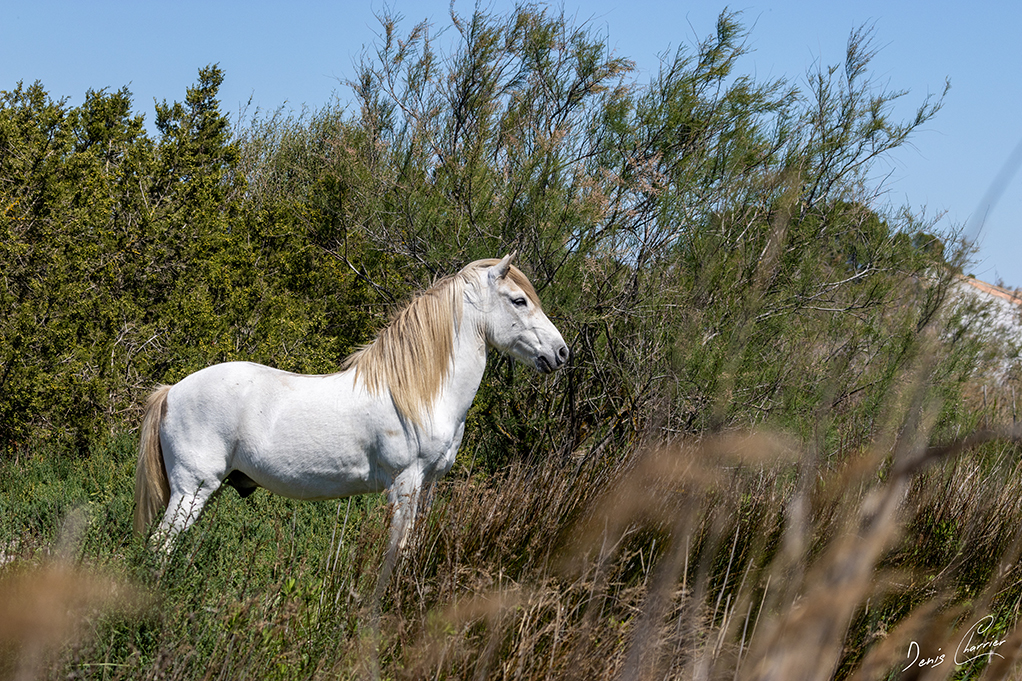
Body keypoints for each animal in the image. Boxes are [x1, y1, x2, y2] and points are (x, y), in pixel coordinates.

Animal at [133, 253, 569, 588]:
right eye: (518, 301)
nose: (562, 352)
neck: (418, 391)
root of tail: (172, 390)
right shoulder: (405, 485)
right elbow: (396, 554)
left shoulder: (428, 487)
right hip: (192, 488)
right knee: (160, 546)